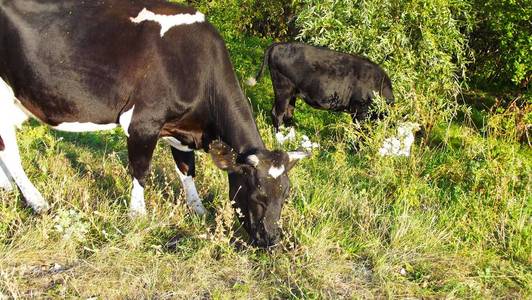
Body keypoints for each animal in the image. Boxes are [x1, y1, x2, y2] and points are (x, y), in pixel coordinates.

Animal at [0, 0, 308, 247]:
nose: (271, 240)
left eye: (285, 196)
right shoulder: (142, 123)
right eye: (258, 195)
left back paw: (8, 191)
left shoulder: (181, 130)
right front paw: (138, 216)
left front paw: (198, 211)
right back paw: (38, 203)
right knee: (11, 152)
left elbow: (187, 170)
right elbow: (141, 171)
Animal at [249, 42, 394, 130]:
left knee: (288, 113)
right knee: (277, 113)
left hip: (292, 93)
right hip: (283, 89)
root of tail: (277, 45)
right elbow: (360, 131)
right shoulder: (360, 110)